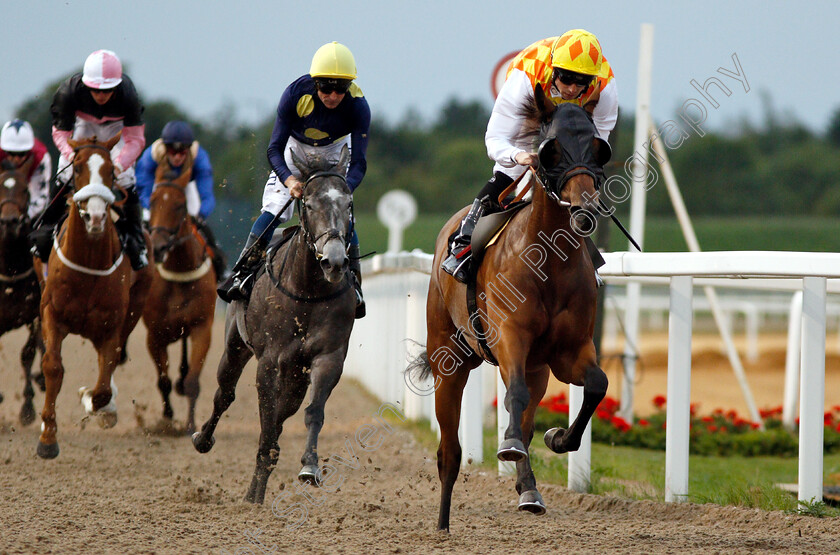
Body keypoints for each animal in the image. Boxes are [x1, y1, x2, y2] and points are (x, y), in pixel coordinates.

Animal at [37, 136, 154, 460]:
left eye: (111, 172)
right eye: (77, 169)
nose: (97, 216)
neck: (87, 262)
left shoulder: (110, 326)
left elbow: (102, 386)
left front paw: (93, 401)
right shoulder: (51, 313)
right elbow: (53, 366)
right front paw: (47, 438)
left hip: (133, 310)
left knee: (109, 364)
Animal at [142, 163, 215, 432]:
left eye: (179, 205)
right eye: (152, 202)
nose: (159, 247)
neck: (180, 271)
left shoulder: (202, 328)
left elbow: (193, 380)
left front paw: (190, 425)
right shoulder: (154, 334)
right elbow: (163, 380)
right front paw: (167, 418)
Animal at [192, 146, 356, 506]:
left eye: (348, 205)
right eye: (309, 203)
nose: (335, 261)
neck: (308, 289)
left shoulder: (328, 357)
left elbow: (312, 411)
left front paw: (310, 466)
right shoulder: (268, 360)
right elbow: (265, 419)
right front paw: (255, 493)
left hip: (296, 374)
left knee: (286, 410)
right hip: (235, 347)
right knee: (224, 394)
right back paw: (203, 438)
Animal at [412, 93, 612, 532]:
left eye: (598, 148)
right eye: (550, 149)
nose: (585, 210)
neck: (549, 262)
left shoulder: (569, 352)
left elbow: (596, 385)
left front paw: (558, 438)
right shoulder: (509, 338)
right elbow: (514, 395)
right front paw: (509, 448)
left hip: (537, 369)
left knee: (525, 417)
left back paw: (529, 490)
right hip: (448, 359)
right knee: (449, 451)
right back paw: (442, 524)